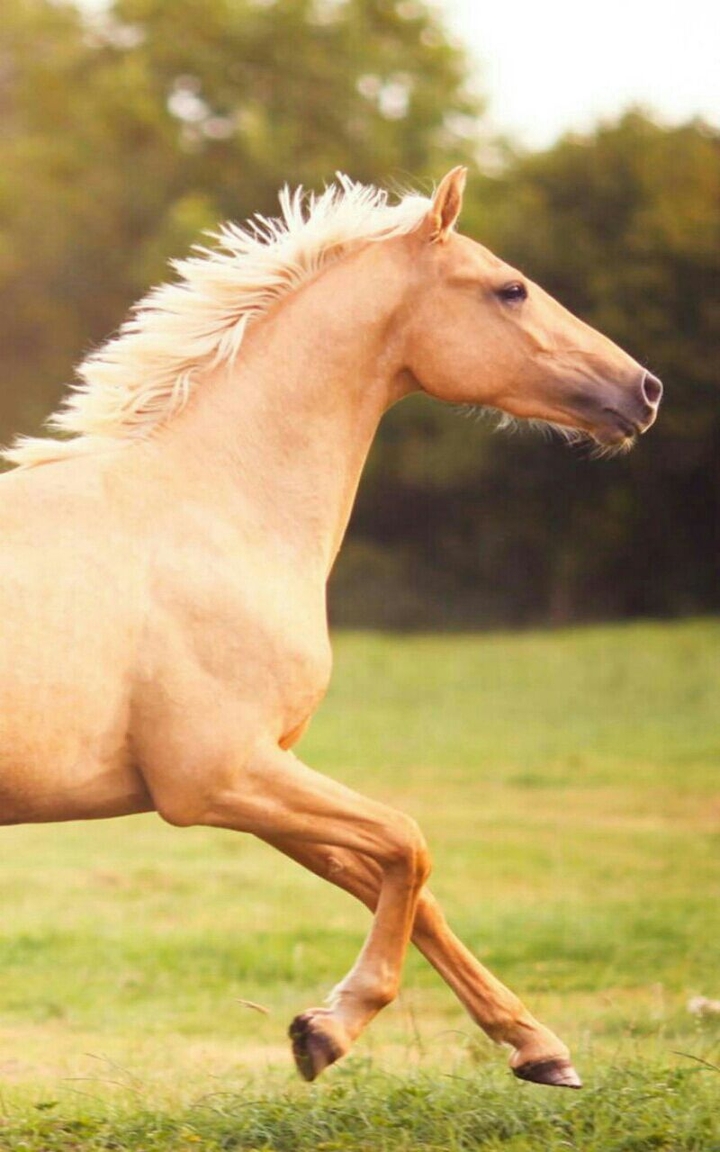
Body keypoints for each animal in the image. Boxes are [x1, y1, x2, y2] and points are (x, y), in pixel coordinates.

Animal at [0, 168, 662, 1089]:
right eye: (511, 288)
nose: (644, 391)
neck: (212, 507)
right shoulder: (217, 776)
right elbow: (409, 845)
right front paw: (328, 1031)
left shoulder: (263, 774)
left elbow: (397, 882)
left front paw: (539, 1049)